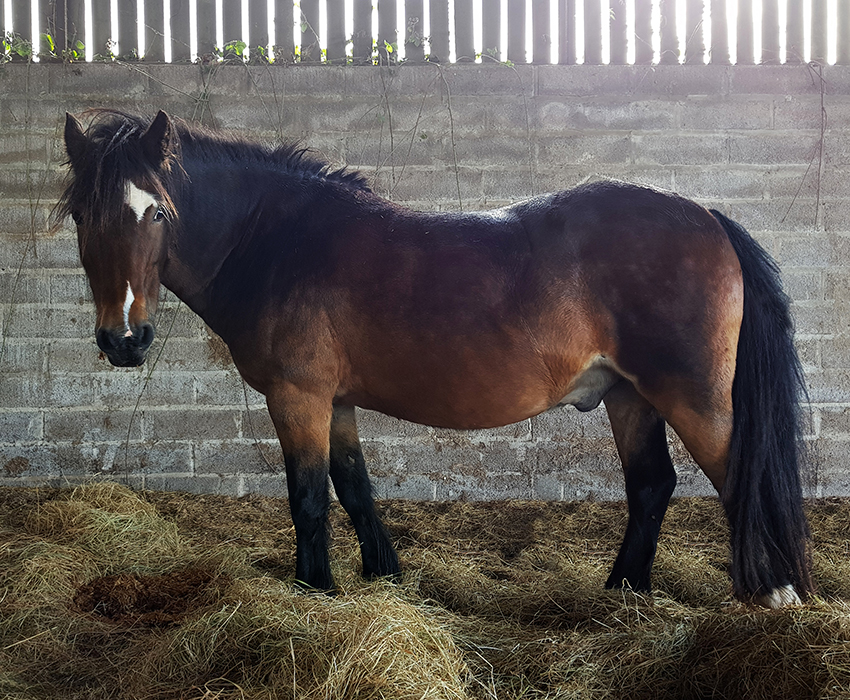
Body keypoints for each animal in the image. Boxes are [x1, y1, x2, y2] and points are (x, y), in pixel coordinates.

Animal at [56, 109, 812, 608]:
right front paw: (383, 575)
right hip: (630, 395)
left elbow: (308, 496)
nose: (124, 339)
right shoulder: (335, 402)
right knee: (653, 485)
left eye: (157, 212)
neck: (278, 240)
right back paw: (623, 590)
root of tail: (706, 217)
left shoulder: (298, 397)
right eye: (84, 216)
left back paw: (774, 593)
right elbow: (354, 487)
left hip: (692, 397)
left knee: (735, 475)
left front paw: (314, 589)